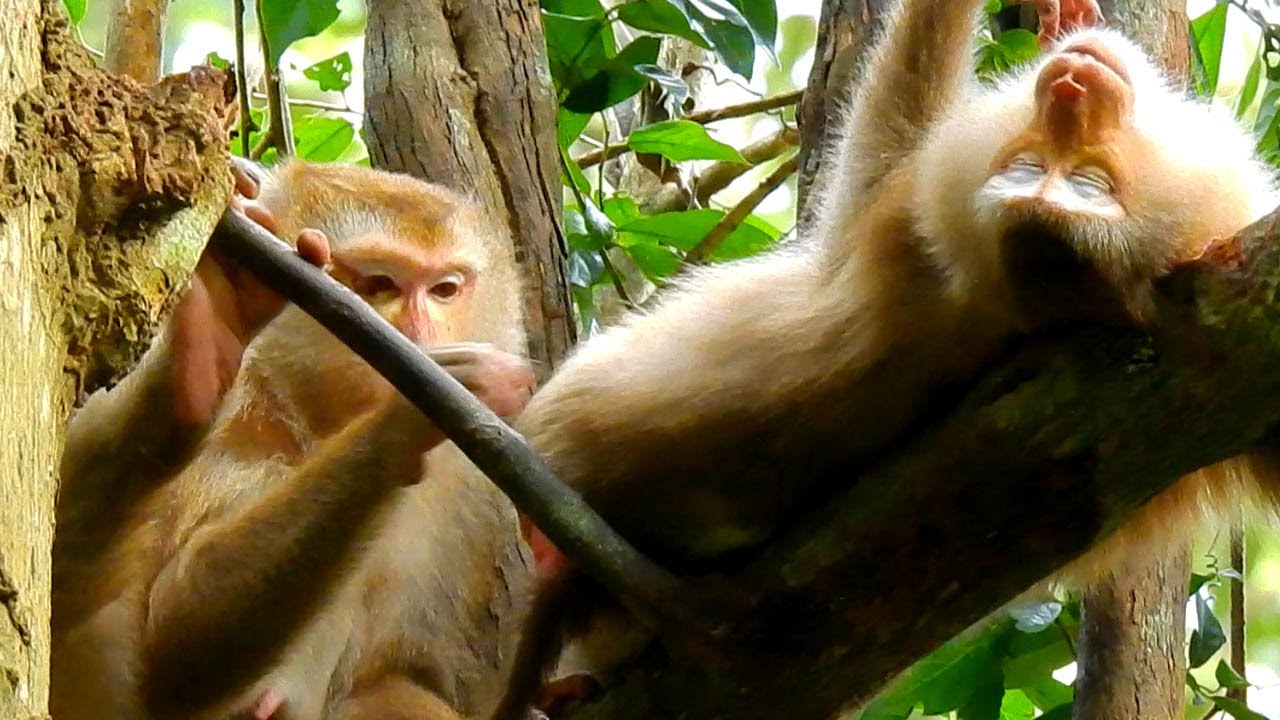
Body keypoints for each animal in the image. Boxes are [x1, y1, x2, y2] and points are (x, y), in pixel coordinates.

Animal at [51, 159, 537, 720]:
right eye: (379, 283)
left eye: (444, 290)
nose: (417, 335)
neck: (300, 406)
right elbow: (166, 646)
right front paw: (403, 420)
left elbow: (391, 678)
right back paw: (191, 376)